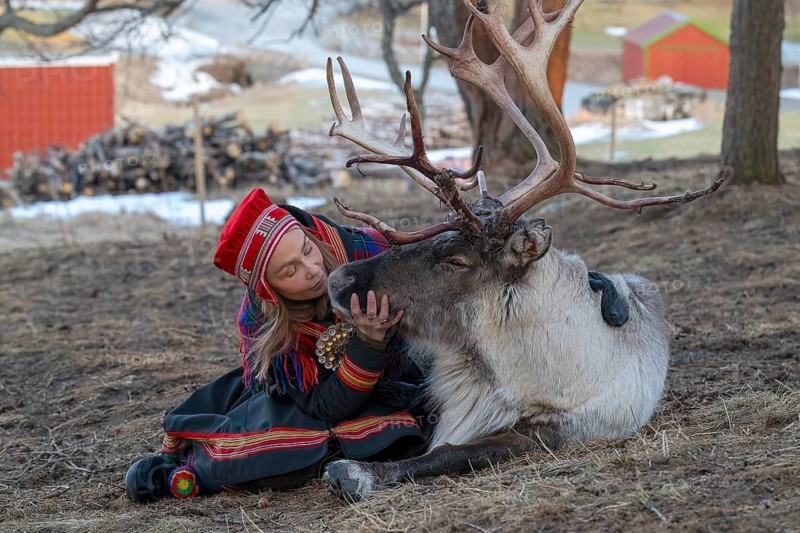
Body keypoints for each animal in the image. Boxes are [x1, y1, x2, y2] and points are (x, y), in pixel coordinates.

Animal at [321, 0, 732, 501]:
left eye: (458, 259)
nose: (338, 279)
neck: (506, 370)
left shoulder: (557, 428)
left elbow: (454, 451)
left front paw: (358, 473)